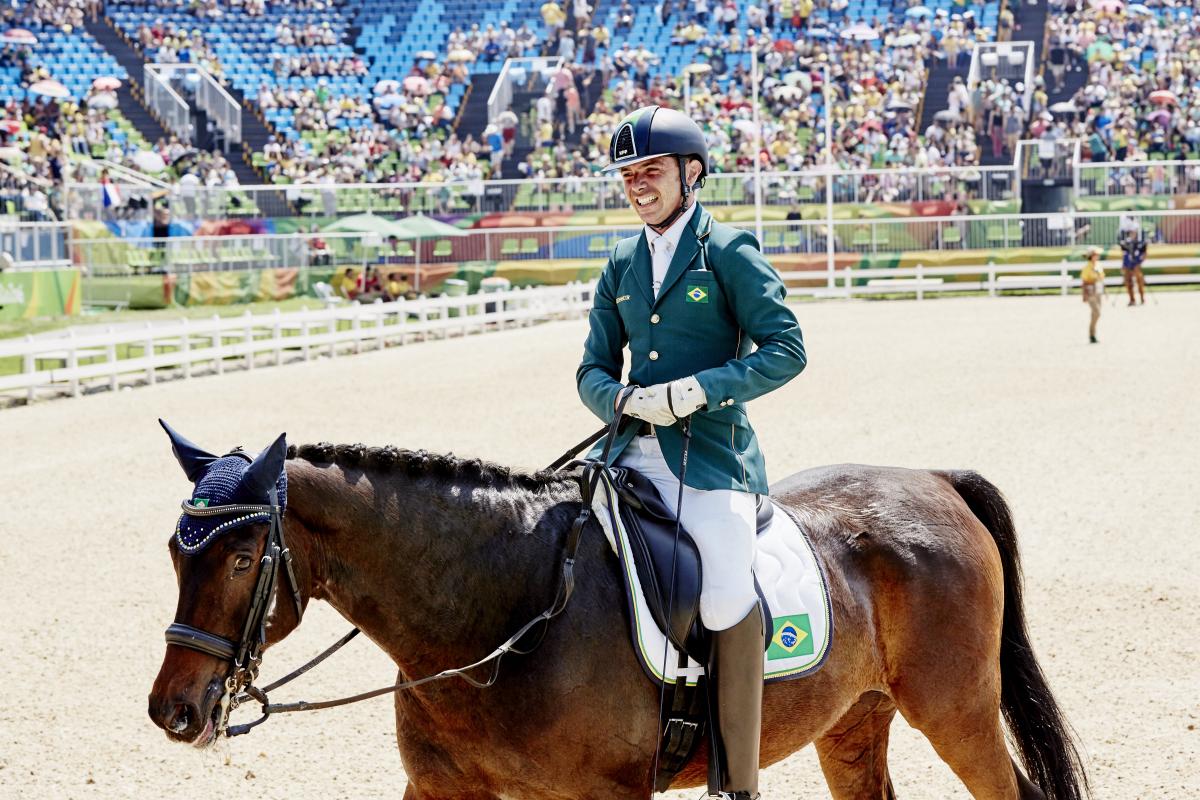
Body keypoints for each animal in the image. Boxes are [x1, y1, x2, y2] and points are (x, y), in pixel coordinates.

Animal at [147, 438, 1089, 800]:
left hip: (955, 710)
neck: (500, 617)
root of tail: (932, 479)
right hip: (855, 720)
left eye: (242, 559)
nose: (174, 712)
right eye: (172, 553)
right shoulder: (442, 788)